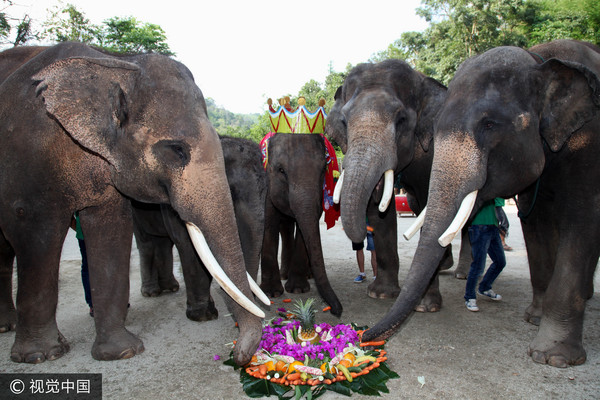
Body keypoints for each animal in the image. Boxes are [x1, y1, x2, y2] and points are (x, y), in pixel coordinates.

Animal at [135, 135, 268, 322]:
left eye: (265, 193)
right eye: (232, 193)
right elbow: (188, 246)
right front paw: (203, 316)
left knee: (163, 243)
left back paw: (170, 288)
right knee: (146, 243)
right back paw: (152, 293)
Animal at [258, 133, 342, 318]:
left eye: (323, 169)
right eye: (281, 170)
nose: (337, 311)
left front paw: (297, 289)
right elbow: (268, 222)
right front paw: (271, 293)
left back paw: (304, 275)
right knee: (286, 228)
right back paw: (283, 275)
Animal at [360, 40, 600, 368]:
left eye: (489, 124)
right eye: (434, 128)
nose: (363, 335)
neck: (538, 60)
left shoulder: (589, 144)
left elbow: (582, 221)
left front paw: (552, 357)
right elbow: (534, 223)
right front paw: (535, 319)